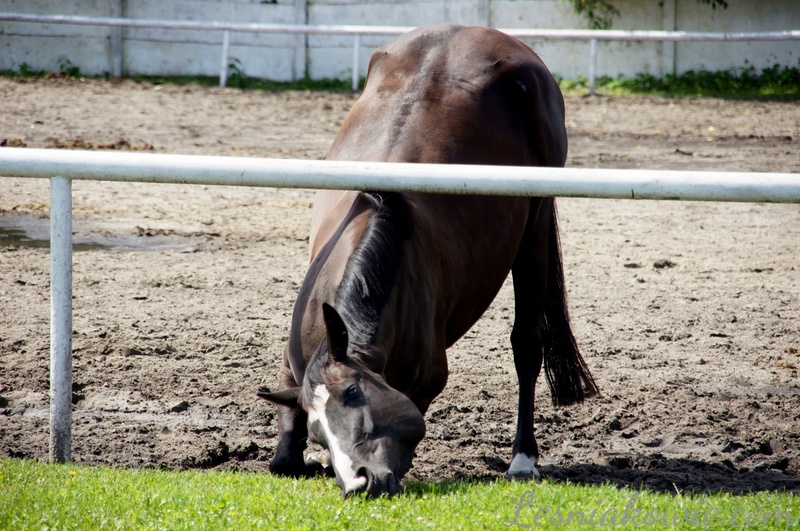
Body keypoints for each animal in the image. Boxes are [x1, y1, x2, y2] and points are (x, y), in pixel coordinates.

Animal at [260, 23, 596, 498]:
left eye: (355, 395)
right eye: (317, 431)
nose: (360, 482)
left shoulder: (424, 381)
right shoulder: (294, 371)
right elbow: (283, 458)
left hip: (535, 228)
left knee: (527, 344)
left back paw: (523, 458)